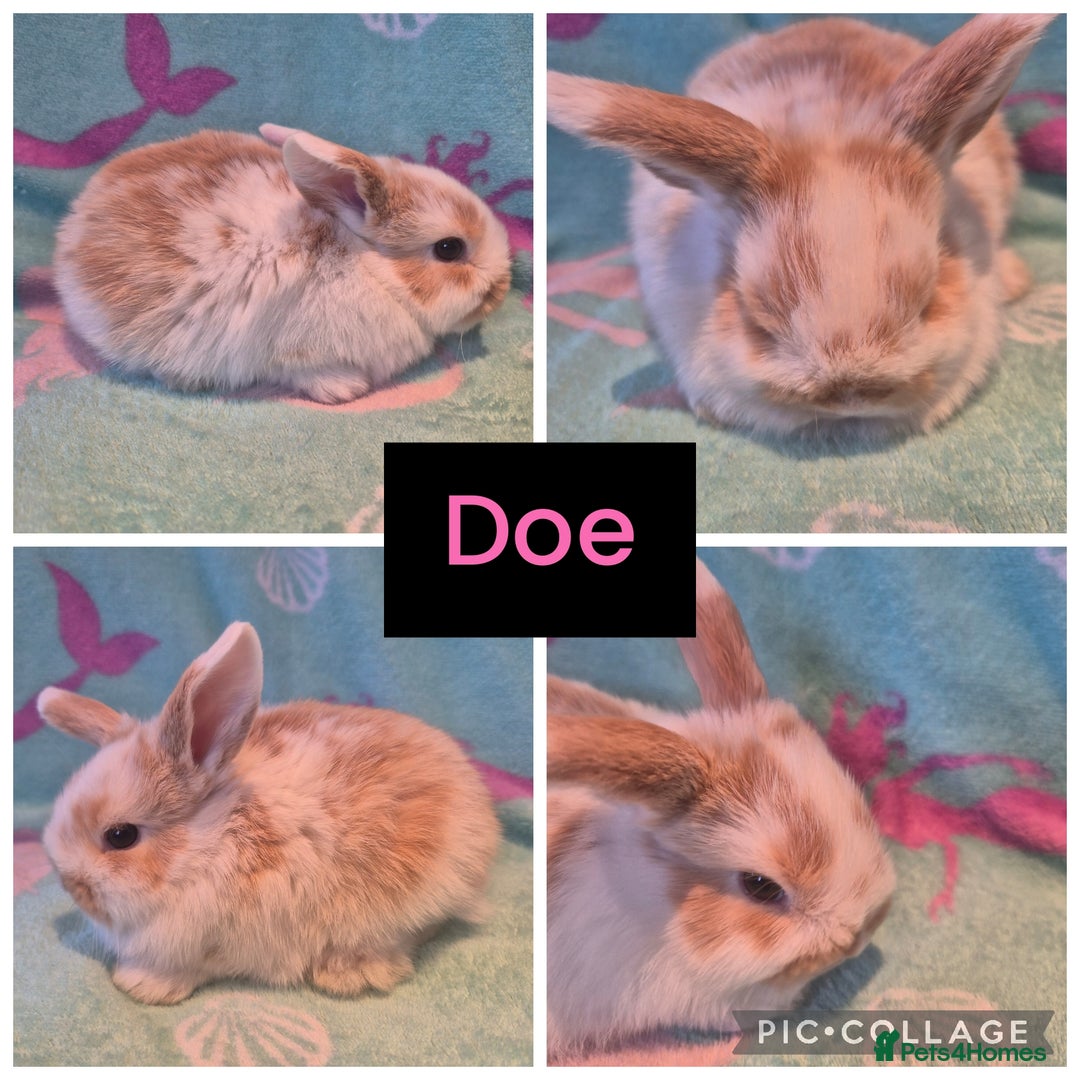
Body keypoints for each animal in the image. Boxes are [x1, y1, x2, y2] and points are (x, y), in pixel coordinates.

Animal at [52, 124, 512, 403]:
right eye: (449, 249)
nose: (503, 288)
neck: (370, 269)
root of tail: (73, 223)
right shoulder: (295, 353)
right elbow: (304, 373)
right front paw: (346, 389)